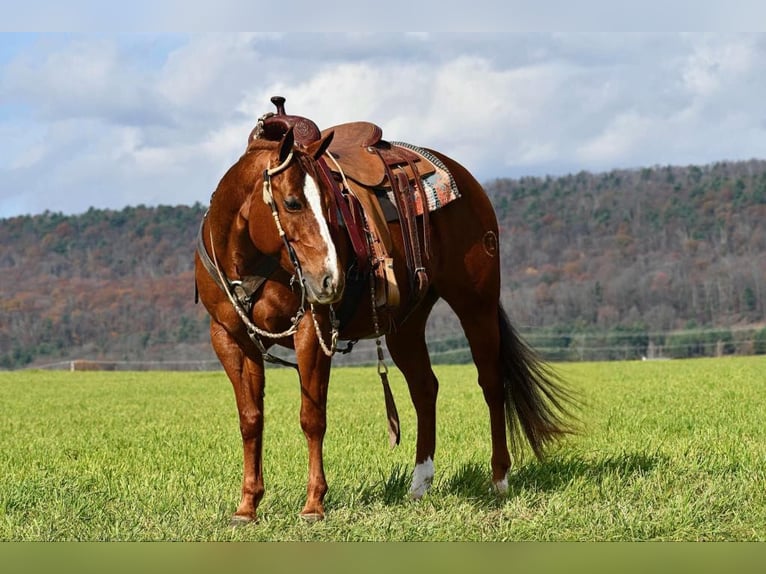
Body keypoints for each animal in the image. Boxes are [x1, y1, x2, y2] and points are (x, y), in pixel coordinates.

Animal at [195, 99, 580, 528]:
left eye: (329, 205)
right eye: (292, 202)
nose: (329, 279)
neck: (247, 258)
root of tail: (468, 183)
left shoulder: (313, 329)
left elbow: (312, 417)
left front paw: (313, 504)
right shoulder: (229, 338)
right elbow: (250, 419)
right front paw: (247, 505)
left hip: (475, 305)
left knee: (491, 383)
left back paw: (498, 479)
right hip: (405, 325)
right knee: (425, 388)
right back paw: (419, 483)